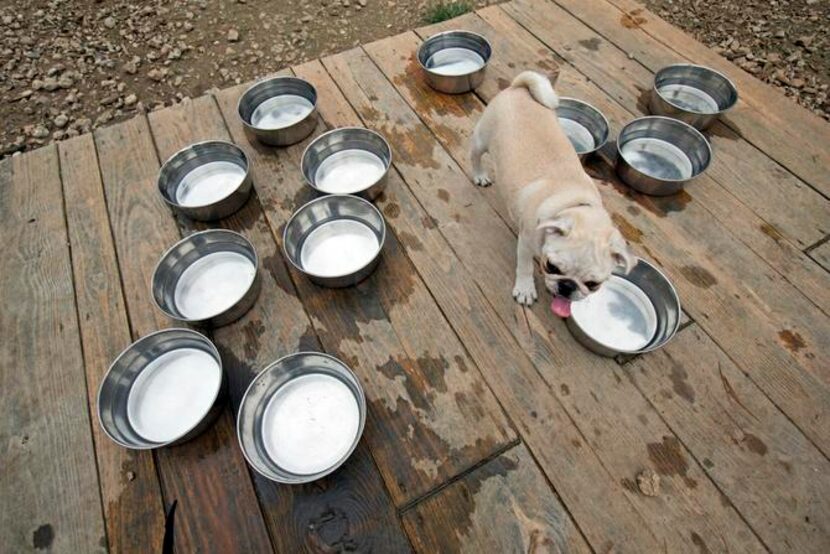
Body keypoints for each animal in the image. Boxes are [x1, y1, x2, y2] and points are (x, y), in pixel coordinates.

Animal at [472, 70, 632, 314]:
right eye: (551, 266)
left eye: (593, 284)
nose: (567, 287)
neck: (573, 202)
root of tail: (519, 88)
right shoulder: (525, 244)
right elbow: (525, 267)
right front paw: (525, 289)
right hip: (481, 139)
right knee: (475, 156)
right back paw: (479, 174)